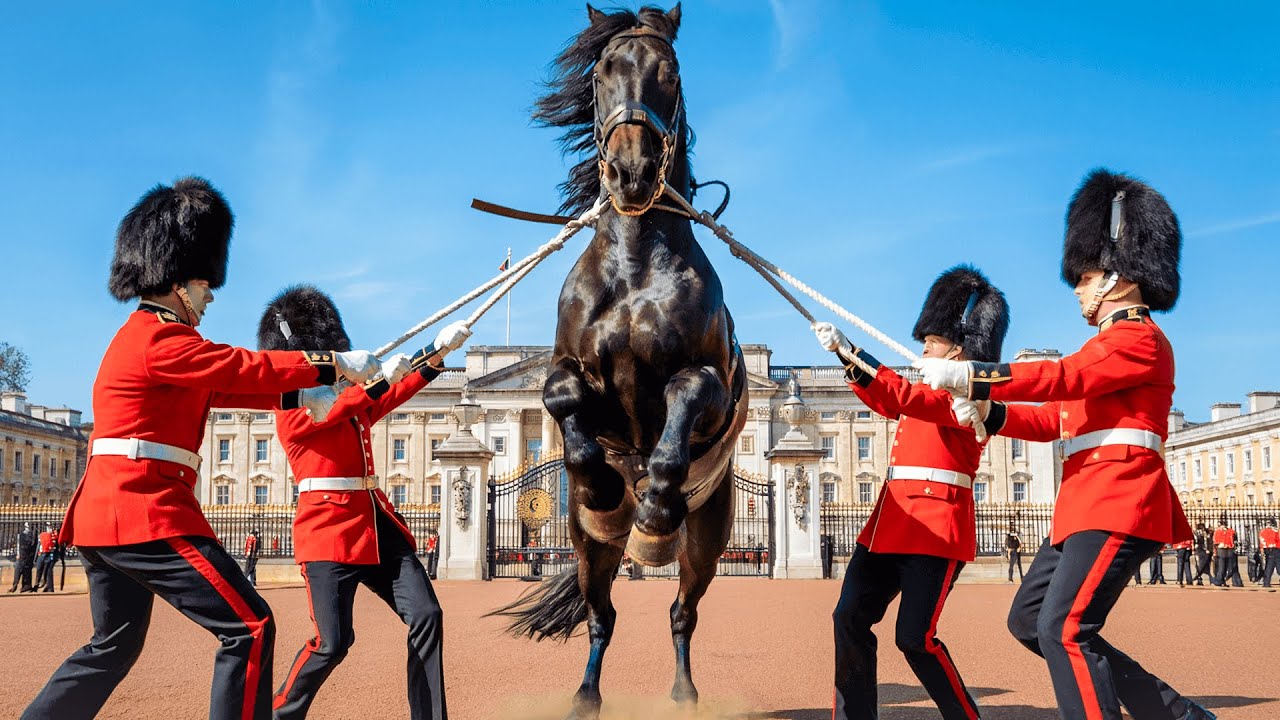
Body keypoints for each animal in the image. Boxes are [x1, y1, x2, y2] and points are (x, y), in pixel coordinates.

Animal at [491, 4, 748, 718]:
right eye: (602, 72)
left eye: (673, 72)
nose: (631, 174)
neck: (634, 262)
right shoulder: (558, 375)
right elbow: (561, 400)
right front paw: (601, 484)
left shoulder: (712, 384)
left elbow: (683, 402)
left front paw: (654, 498)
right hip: (587, 550)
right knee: (600, 613)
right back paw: (585, 693)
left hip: (710, 536)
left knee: (681, 612)